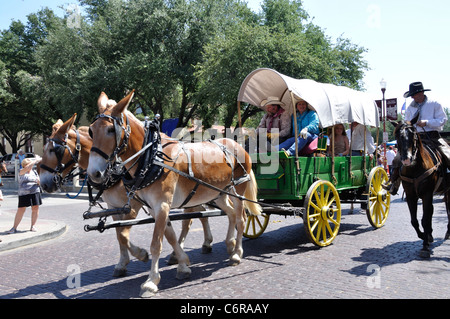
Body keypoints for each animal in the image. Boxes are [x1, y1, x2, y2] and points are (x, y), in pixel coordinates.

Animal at [38, 114, 213, 278]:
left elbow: (124, 233)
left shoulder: (134, 205)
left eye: (54, 150)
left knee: (191, 219)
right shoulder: (114, 207)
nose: (43, 183)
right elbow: (119, 234)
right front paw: (122, 263)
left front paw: (141, 255)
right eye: (45, 148)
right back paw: (201, 245)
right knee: (200, 214)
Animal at [86, 90, 262, 298]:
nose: (94, 173)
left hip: (238, 191)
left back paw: (236, 253)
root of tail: (238, 145)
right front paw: (182, 264)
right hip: (219, 193)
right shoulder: (153, 208)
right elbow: (165, 236)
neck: (152, 157)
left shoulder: (161, 204)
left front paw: (151, 281)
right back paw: (230, 243)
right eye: (91, 131)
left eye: (110, 130)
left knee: (241, 218)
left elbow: (156, 243)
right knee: (231, 214)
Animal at [392, 119, 450, 258]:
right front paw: (426, 236)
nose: (406, 160)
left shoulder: (427, 194)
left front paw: (425, 246)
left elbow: (425, 220)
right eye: (397, 136)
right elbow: (415, 220)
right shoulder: (410, 196)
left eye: (413, 135)